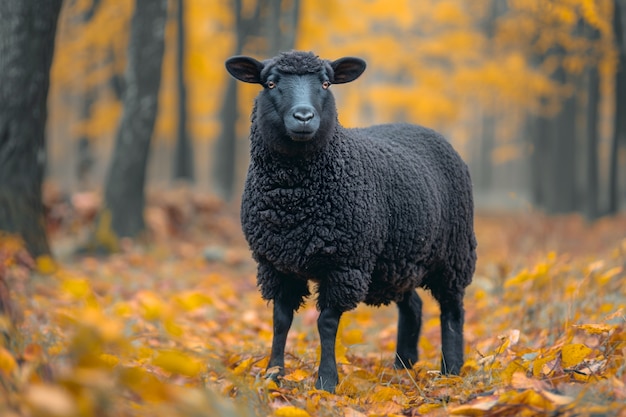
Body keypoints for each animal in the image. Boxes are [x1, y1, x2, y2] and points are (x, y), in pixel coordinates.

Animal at [227, 50, 476, 392]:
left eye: (326, 83)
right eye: (271, 83)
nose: (303, 116)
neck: (293, 201)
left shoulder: (345, 264)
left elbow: (326, 323)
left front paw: (326, 382)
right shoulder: (275, 264)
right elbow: (280, 320)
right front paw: (273, 375)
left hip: (454, 252)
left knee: (452, 310)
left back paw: (451, 369)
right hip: (397, 259)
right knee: (412, 305)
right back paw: (403, 365)